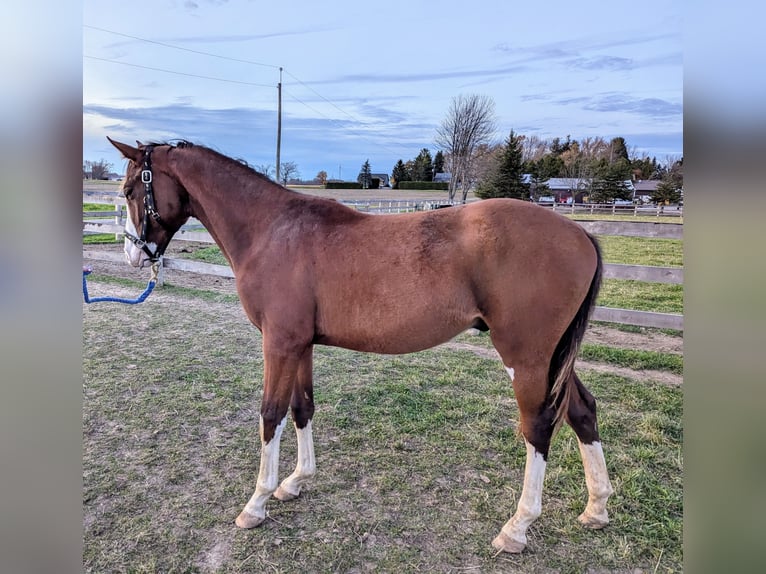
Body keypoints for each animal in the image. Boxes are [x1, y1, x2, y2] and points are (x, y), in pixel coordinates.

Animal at [106, 137, 616, 556]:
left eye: (130, 190)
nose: (133, 254)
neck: (272, 230)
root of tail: (579, 234)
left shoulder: (279, 344)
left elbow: (271, 415)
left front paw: (257, 502)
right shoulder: (300, 345)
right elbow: (302, 408)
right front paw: (296, 481)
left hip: (525, 357)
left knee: (539, 427)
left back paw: (517, 528)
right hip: (552, 358)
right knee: (581, 410)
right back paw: (597, 507)